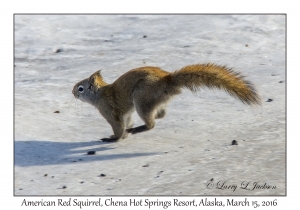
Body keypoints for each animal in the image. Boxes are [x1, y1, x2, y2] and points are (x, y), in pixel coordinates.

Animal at [72, 63, 260, 142]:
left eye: (80, 88)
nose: (72, 92)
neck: (99, 94)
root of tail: (167, 80)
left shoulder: (110, 112)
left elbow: (118, 126)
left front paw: (115, 138)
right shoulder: (126, 113)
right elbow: (126, 122)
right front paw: (122, 135)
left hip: (142, 99)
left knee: (151, 124)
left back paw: (138, 128)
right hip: (152, 101)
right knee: (161, 114)